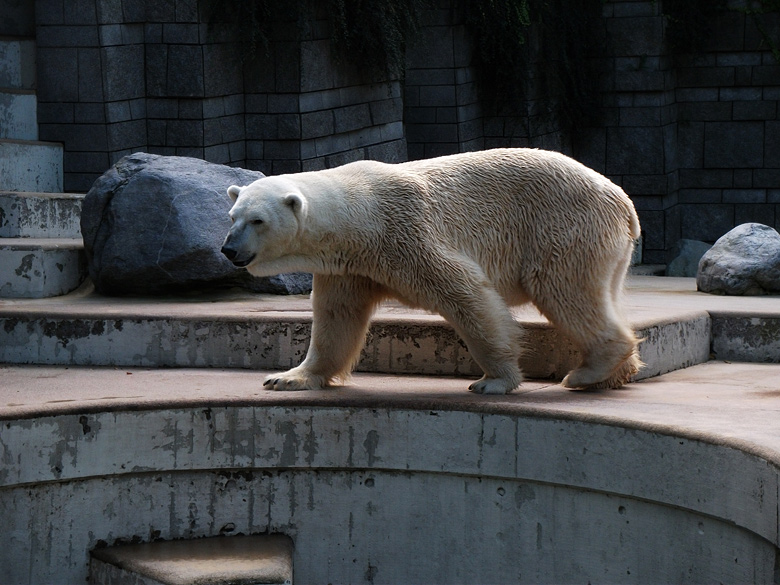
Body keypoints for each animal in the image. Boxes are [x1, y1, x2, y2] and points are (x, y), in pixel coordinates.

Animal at [222, 147, 644, 392]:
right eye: (232, 215)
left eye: (258, 221)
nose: (229, 249)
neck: (359, 217)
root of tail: (623, 201)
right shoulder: (350, 267)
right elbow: (335, 318)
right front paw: (288, 376)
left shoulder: (407, 234)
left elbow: (467, 293)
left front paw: (495, 381)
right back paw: (614, 373)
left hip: (562, 227)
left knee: (565, 290)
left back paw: (589, 372)